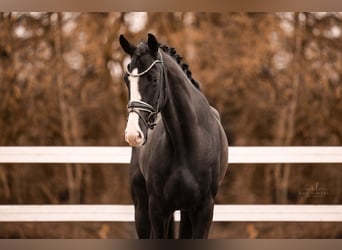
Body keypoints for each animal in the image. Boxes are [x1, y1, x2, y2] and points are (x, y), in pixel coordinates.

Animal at [119, 33, 228, 238]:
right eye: (126, 80)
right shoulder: (157, 209)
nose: (133, 134)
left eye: (154, 79)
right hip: (142, 208)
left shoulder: (203, 211)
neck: (185, 143)